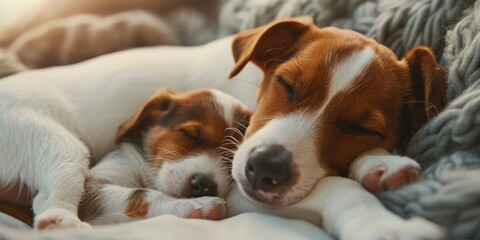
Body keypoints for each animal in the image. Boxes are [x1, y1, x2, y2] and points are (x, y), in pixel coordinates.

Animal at [77, 88, 251, 225]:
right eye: (191, 135)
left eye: (232, 158)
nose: (204, 185)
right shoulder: (90, 189)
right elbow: (141, 193)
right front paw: (196, 205)